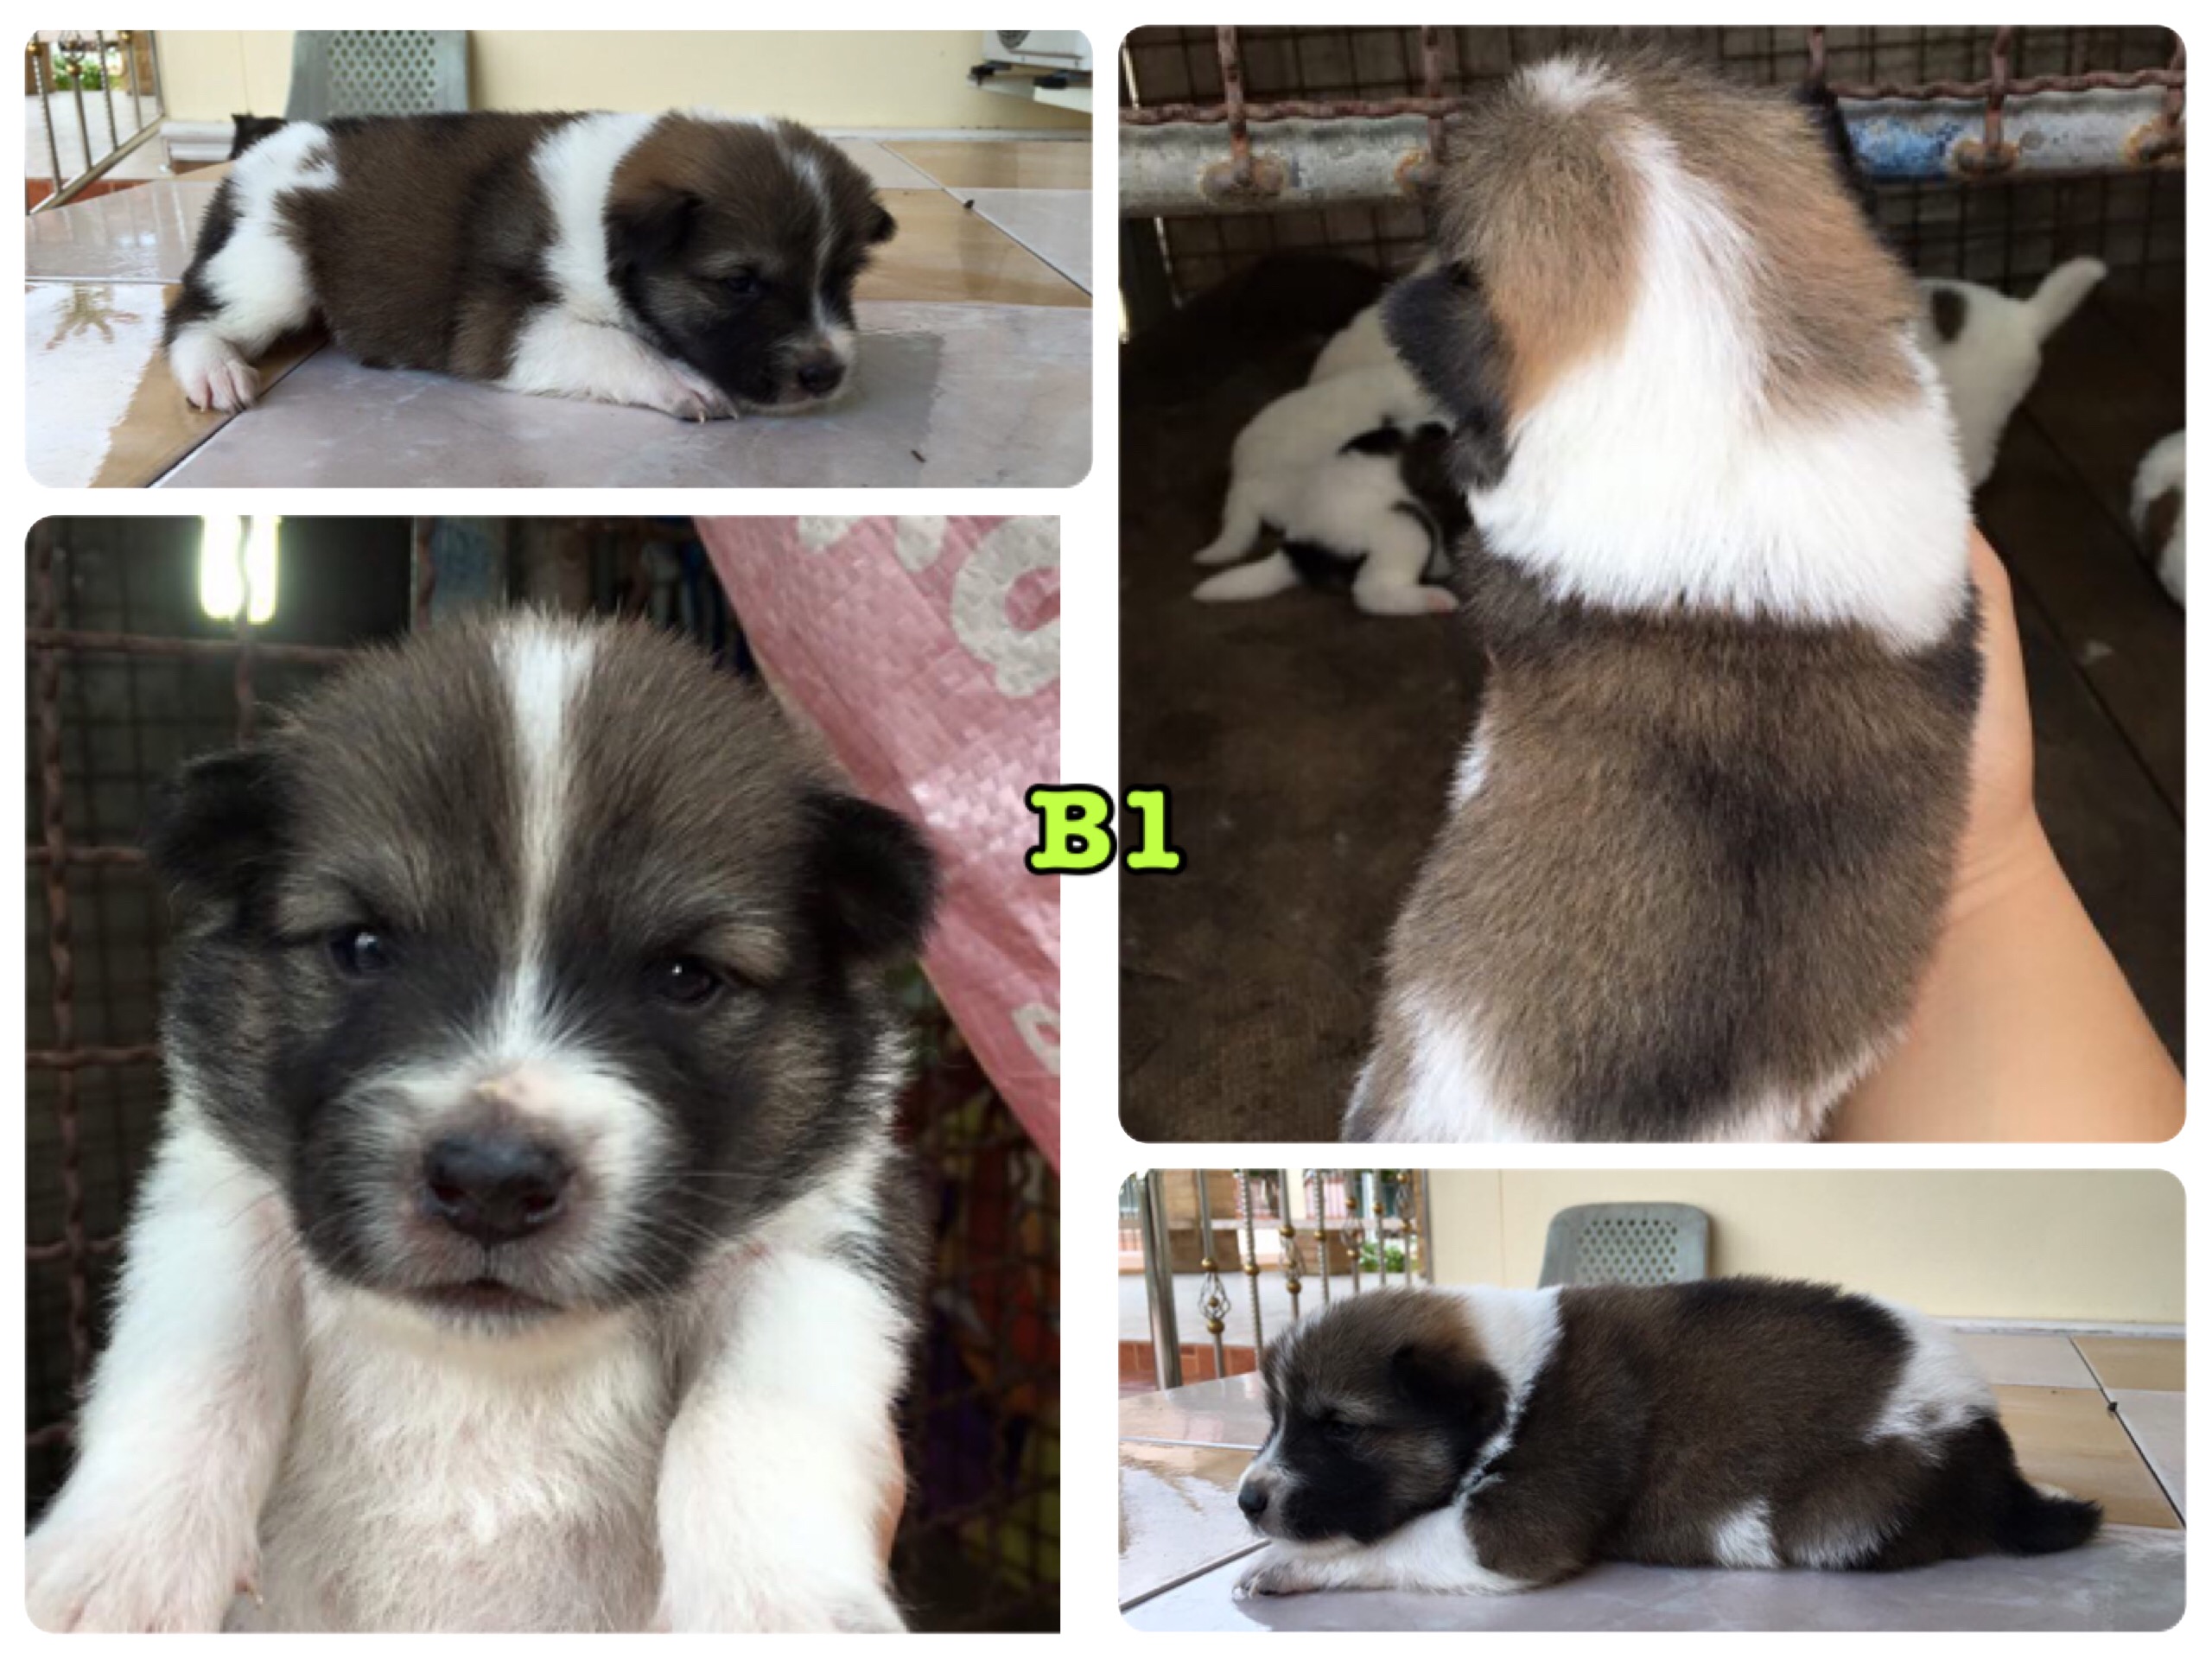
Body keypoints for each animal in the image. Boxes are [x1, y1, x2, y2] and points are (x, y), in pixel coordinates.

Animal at [26, 614, 937, 1632]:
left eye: (685, 976)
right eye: (361, 946)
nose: (493, 1184)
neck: (490, 1364)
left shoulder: (821, 1241)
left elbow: (754, 1410)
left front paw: (773, 1608)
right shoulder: (215, 1202)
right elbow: (191, 1361)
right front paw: (114, 1567)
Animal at [165, 111, 896, 419]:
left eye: (842, 278)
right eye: (739, 282)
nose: (826, 374)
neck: (604, 222)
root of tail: (253, 157)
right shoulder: (503, 325)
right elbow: (609, 345)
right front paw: (678, 381)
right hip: (272, 262)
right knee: (192, 313)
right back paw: (216, 370)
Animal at [1235, 1282, 2101, 1598]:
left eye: (1340, 1426)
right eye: (1272, 1419)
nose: (1247, 1500)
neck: (1509, 1388)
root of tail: (1995, 1457)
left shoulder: (1514, 1527)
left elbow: (1400, 1540)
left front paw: (1287, 1564)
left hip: (1848, 1511)